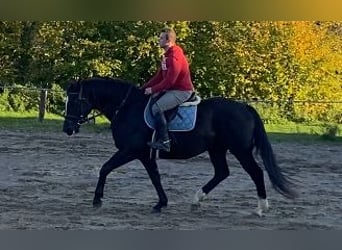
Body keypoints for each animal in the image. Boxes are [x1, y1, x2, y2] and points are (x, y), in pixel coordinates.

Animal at [63, 77, 296, 216]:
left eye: (74, 102)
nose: (67, 129)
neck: (127, 108)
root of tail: (244, 107)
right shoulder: (145, 155)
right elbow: (155, 178)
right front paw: (161, 203)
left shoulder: (130, 151)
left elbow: (105, 168)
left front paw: (97, 199)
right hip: (217, 149)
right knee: (222, 172)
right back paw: (196, 200)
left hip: (240, 150)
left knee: (256, 172)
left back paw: (261, 207)